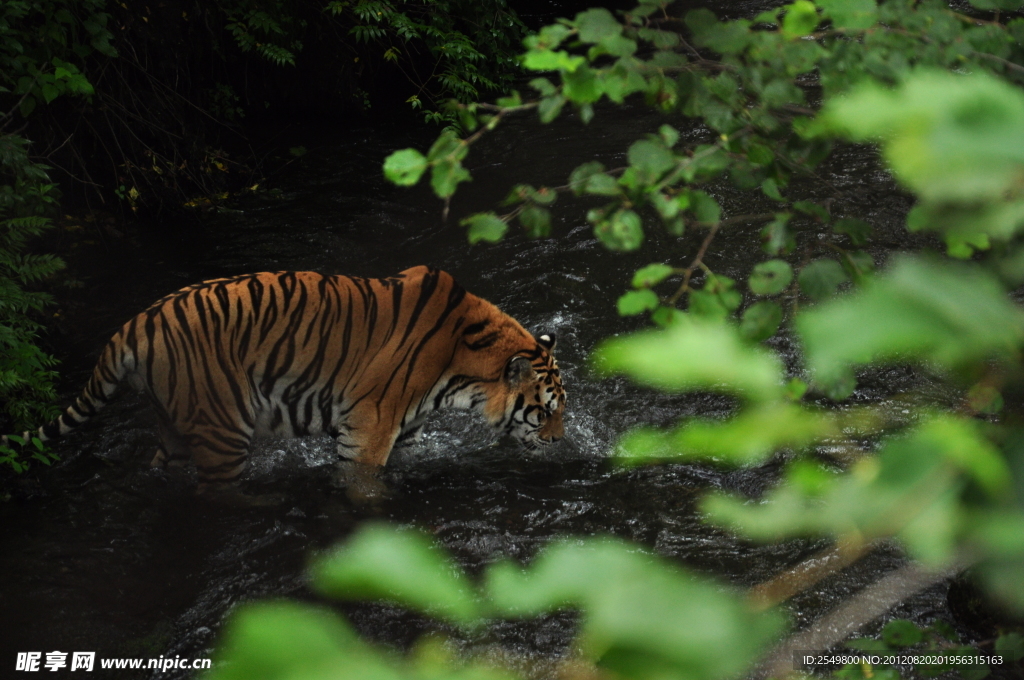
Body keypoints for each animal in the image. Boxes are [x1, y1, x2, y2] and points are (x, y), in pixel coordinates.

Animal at [6, 264, 569, 493]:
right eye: (545, 411)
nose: (560, 442)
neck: (461, 367)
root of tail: (132, 324)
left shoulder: (403, 431)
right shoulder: (368, 429)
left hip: (174, 425)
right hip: (222, 431)